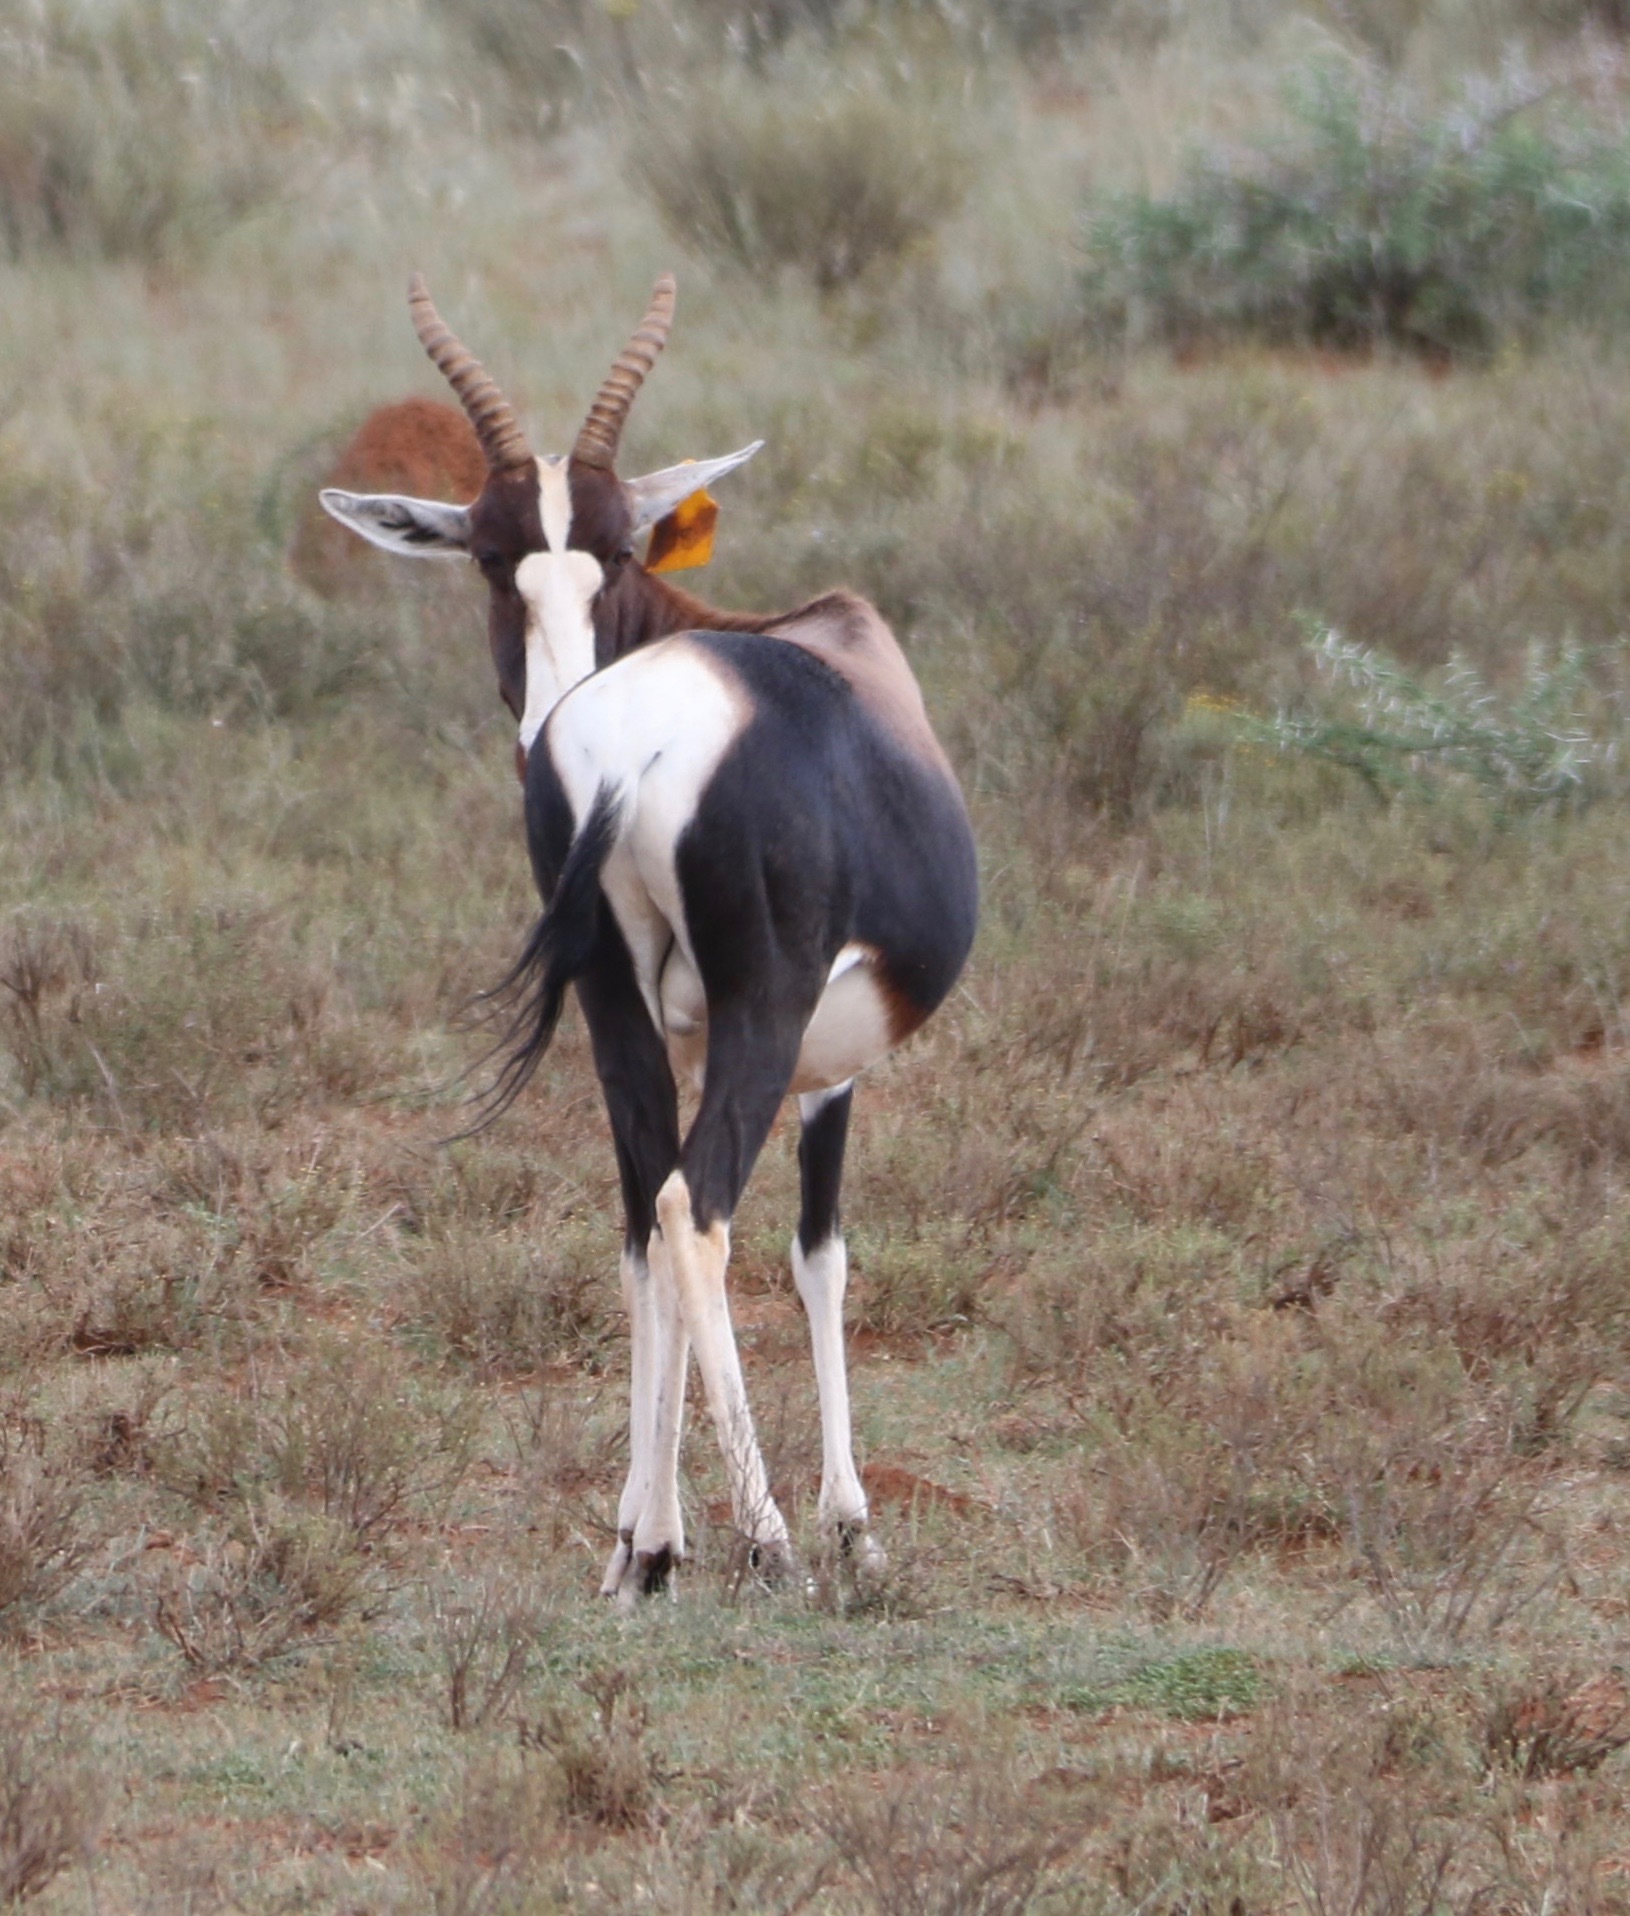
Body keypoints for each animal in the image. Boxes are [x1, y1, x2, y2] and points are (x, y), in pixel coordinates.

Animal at [325, 277, 976, 1601]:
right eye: (492, 559)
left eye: (615, 548)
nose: (540, 722)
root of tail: (629, 746)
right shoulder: (825, 1061)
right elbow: (818, 1251)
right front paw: (848, 1521)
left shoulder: (668, 1027)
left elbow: (652, 1251)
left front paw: (634, 1533)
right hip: (762, 1011)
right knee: (697, 1208)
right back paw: (766, 1540)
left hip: (611, 1006)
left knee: (644, 1217)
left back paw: (658, 1548)